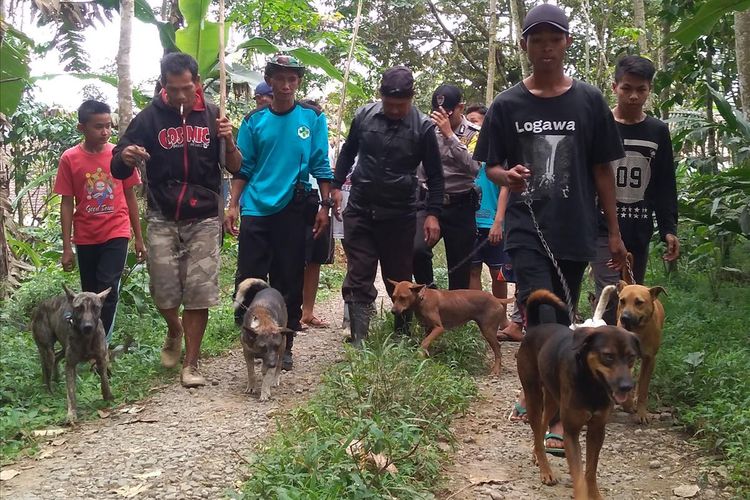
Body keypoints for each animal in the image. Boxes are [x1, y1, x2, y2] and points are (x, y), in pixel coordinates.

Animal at [520, 290, 644, 500]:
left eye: (631, 357)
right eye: (608, 356)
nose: (627, 387)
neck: (592, 385)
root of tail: (536, 327)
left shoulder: (597, 430)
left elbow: (591, 470)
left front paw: (595, 494)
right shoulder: (571, 432)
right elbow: (577, 473)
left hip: (553, 399)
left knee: (543, 426)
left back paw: (537, 455)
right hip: (533, 396)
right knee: (537, 429)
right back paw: (546, 471)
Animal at [616, 280, 668, 424]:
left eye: (639, 302)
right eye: (622, 300)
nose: (624, 318)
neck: (637, 332)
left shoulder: (650, 359)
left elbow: (643, 388)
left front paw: (641, 413)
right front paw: (627, 403)